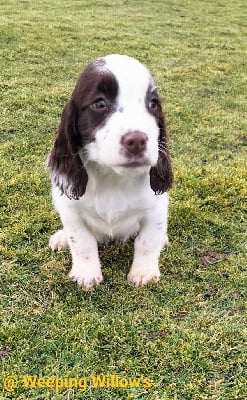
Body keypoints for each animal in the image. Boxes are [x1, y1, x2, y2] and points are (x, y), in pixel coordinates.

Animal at [47, 54, 172, 290]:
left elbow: (147, 241)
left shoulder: (156, 208)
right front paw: (86, 274)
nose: (137, 141)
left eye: (153, 104)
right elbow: (82, 242)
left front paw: (143, 272)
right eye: (99, 103)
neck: (112, 177)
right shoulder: (70, 209)